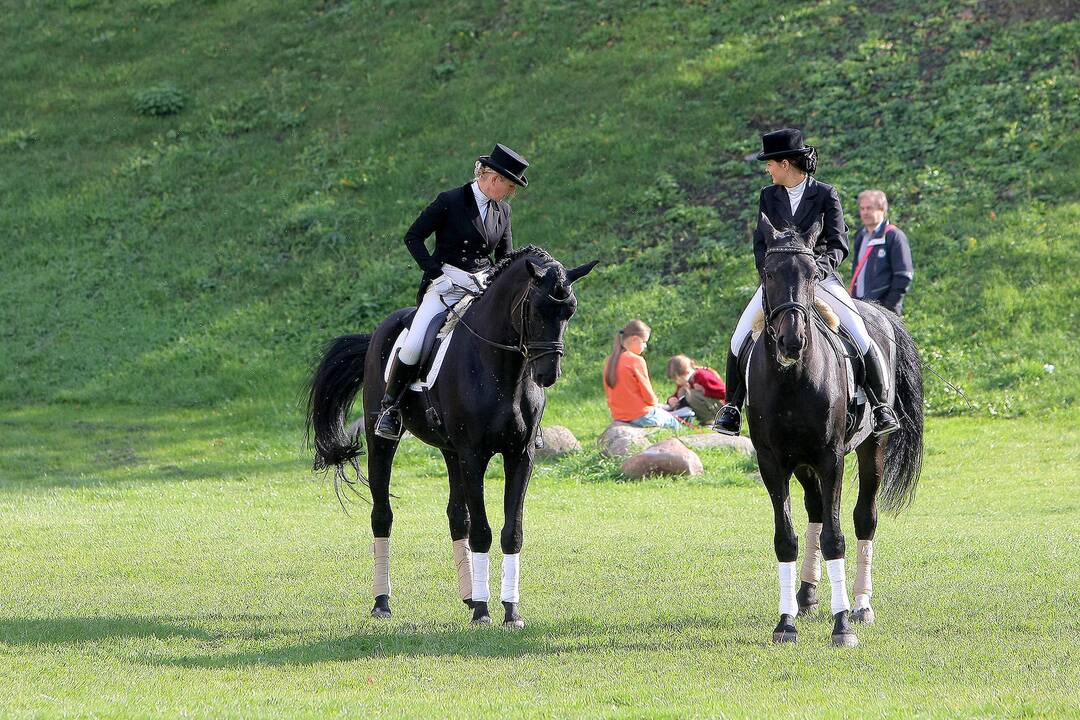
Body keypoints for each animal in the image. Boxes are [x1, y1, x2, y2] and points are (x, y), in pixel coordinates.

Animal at [306, 246, 600, 626]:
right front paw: (483, 613)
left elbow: (511, 533)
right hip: (384, 440)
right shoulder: (474, 455)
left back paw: (469, 595)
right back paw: (383, 603)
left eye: (570, 310)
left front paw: (510, 611)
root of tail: (377, 333)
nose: (547, 374)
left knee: (456, 516)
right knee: (383, 515)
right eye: (536, 309)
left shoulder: (520, 455)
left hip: (451, 451)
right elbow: (482, 532)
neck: (502, 370)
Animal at [751, 213, 920, 647]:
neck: (793, 378)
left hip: (872, 446)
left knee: (864, 518)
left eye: (813, 273)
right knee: (814, 511)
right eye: (769, 272)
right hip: (803, 464)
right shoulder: (773, 462)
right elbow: (786, 538)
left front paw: (842, 624)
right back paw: (807, 595)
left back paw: (861, 604)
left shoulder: (831, 459)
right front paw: (786, 622)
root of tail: (876, 309)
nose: (792, 341)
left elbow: (835, 537)